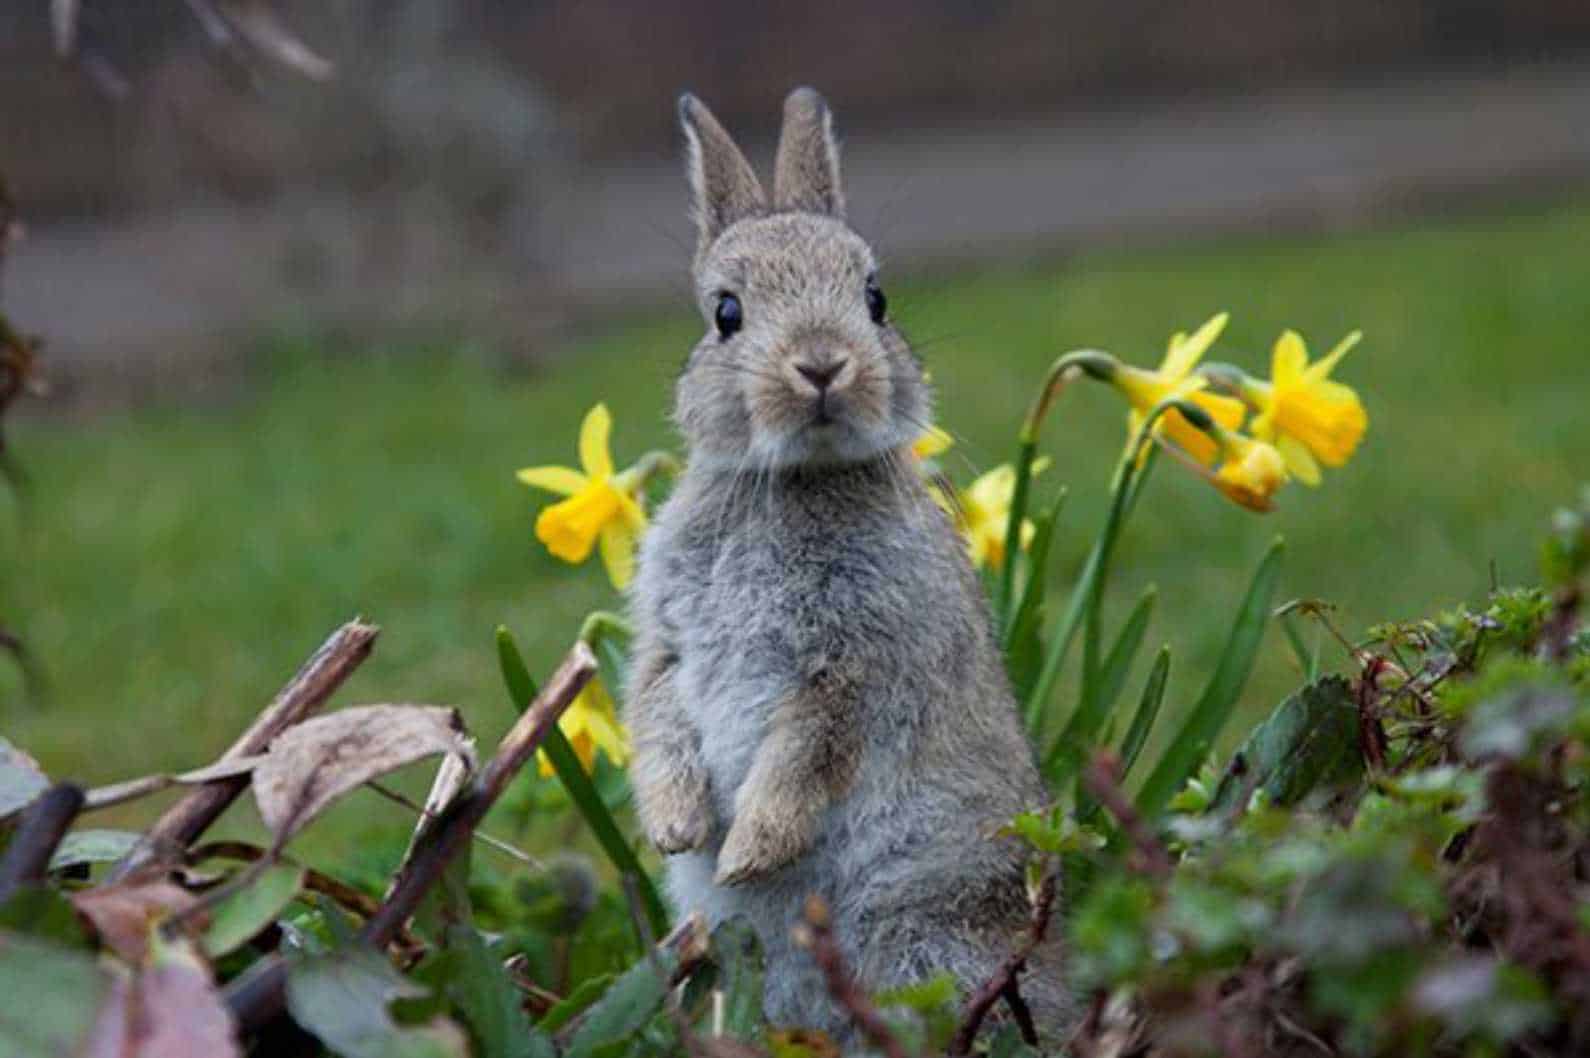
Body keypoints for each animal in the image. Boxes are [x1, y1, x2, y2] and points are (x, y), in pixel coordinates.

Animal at [620, 84, 1068, 1037]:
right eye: (725, 314)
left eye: (876, 299)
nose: (823, 366)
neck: (792, 479)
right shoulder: (666, 644)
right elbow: (656, 713)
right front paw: (677, 831)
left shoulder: (853, 669)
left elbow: (804, 757)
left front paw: (744, 855)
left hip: (933, 936)